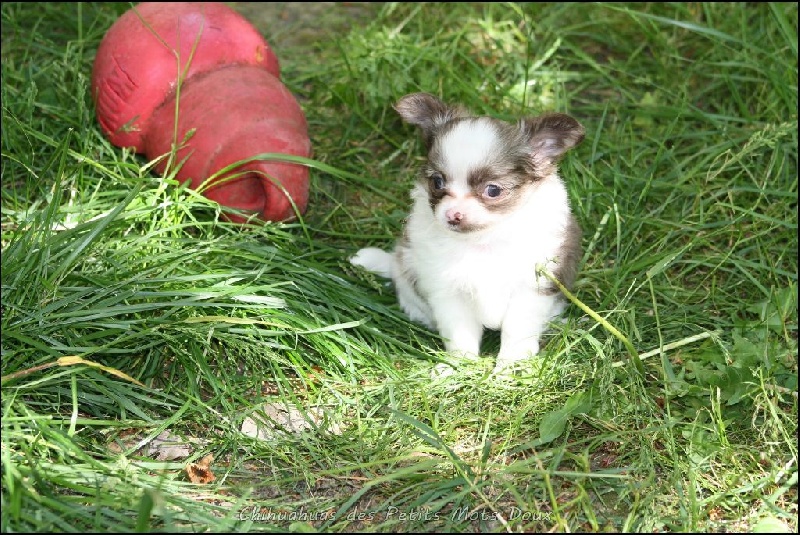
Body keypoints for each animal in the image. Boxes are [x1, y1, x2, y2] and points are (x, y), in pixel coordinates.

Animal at [351, 92, 585, 374]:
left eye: (493, 190)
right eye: (437, 182)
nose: (453, 214)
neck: (483, 241)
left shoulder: (532, 287)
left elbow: (517, 331)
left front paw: (511, 367)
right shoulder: (448, 292)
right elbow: (459, 333)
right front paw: (459, 366)